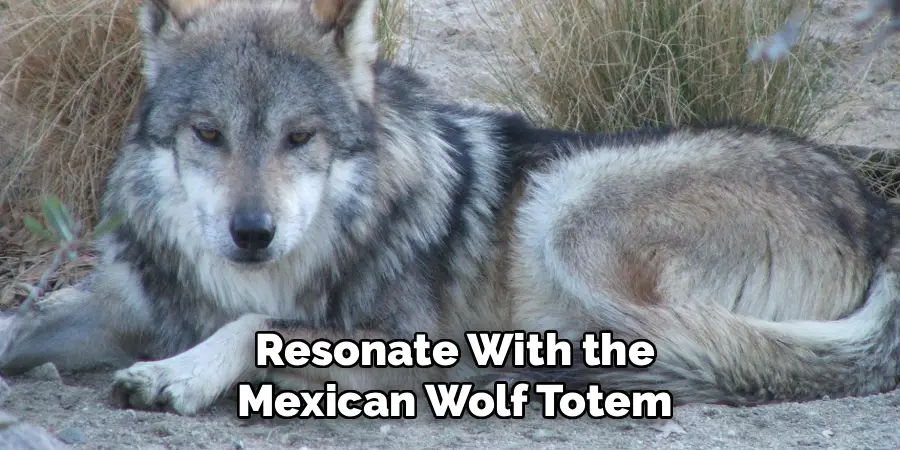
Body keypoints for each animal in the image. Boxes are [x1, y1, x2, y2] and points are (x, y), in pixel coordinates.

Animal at [1, 0, 900, 416]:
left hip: (569, 210)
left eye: (299, 137)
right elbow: (22, 321)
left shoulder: (407, 339)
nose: (251, 233)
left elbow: (260, 327)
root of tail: (876, 209)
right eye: (208, 134)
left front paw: (178, 374)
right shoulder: (130, 304)